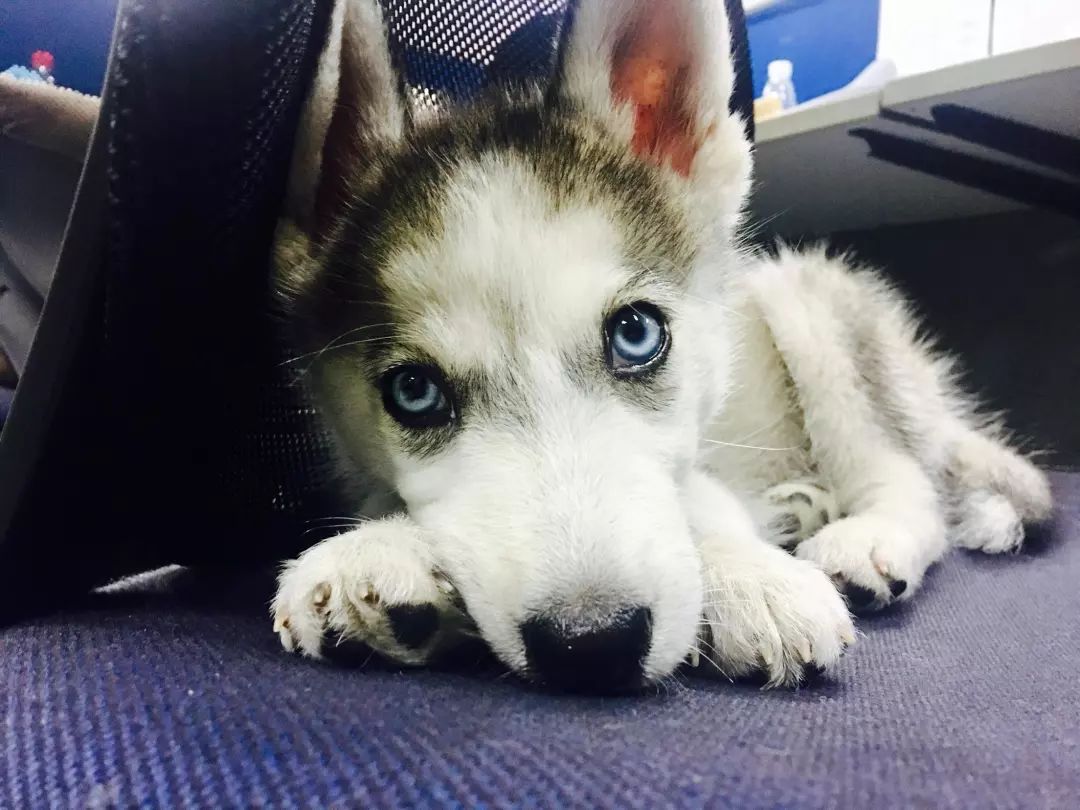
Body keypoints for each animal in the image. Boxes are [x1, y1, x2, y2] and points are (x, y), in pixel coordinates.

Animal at [269, 0, 1052, 693]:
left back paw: (863, 540)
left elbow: (695, 492)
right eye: (414, 392)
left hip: (803, 299)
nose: (592, 644)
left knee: (910, 481)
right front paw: (383, 546)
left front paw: (747, 574)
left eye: (636, 333)